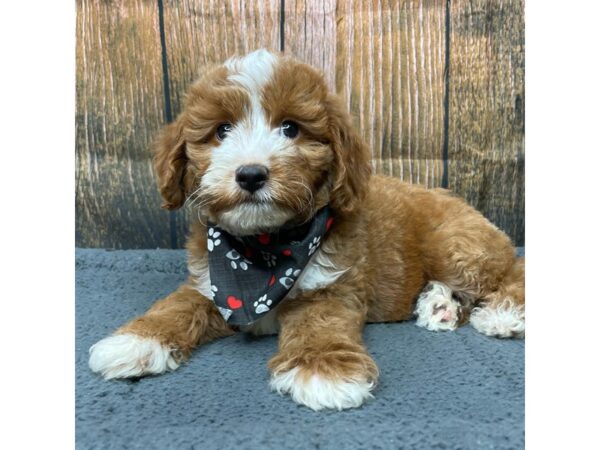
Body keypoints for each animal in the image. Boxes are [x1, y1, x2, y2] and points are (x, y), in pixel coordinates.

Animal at [89, 49, 524, 412]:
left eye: (290, 128)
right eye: (222, 130)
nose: (251, 174)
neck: (263, 250)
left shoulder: (332, 286)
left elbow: (320, 325)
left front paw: (323, 371)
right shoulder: (210, 282)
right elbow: (177, 306)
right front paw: (137, 340)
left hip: (455, 245)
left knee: (511, 271)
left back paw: (501, 313)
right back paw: (439, 305)